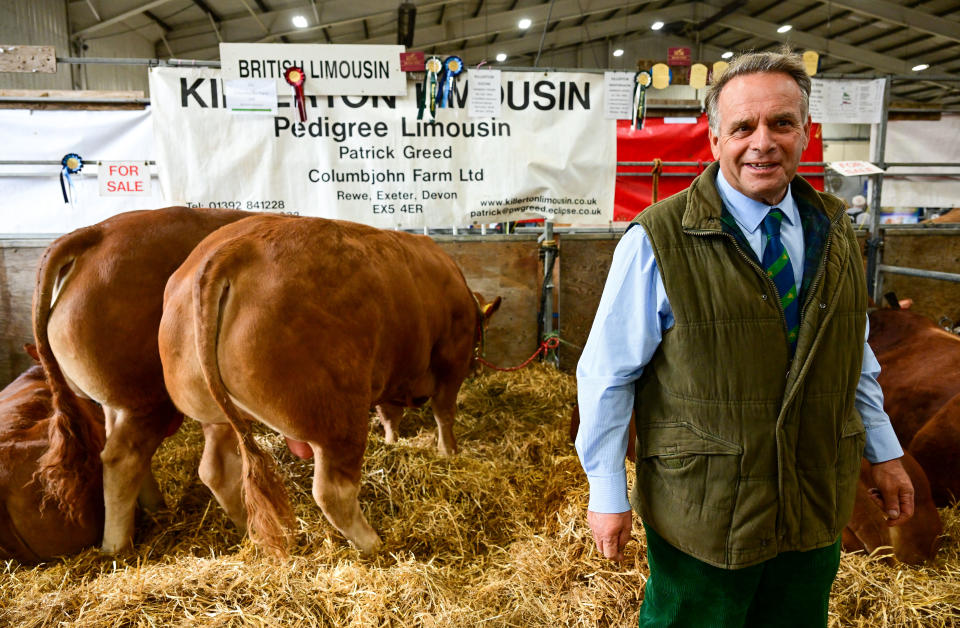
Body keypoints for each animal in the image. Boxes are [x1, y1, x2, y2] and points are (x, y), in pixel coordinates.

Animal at [33, 205, 251, 548]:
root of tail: (97, 232)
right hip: (149, 398)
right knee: (124, 458)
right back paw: (117, 547)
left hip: (120, 401)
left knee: (122, 449)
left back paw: (156, 510)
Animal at [158, 215, 502, 556]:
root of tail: (232, 250)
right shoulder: (451, 357)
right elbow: (444, 412)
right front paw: (450, 452)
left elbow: (390, 415)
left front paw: (392, 441)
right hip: (336, 416)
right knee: (333, 492)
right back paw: (373, 544)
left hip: (214, 415)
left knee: (217, 471)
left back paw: (247, 531)